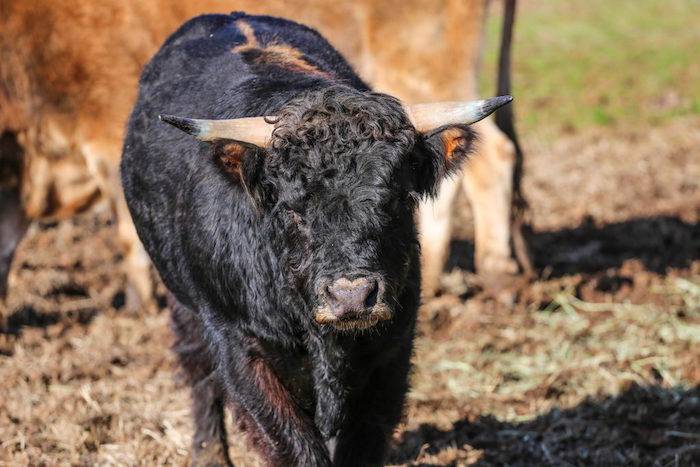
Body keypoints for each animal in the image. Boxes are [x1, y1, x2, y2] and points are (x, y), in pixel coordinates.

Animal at [0, 0, 525, 307]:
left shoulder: (103, 128)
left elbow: (127, 234)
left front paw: (138, 306)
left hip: (428, 70)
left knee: (493, 158)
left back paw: (486, 280)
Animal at [121, 12, 511, 466]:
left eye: (398, 198)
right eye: (291, 207)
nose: (352, 296)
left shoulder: (391, 349)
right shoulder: (241, 344)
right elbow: (291, 442)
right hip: (183, 299)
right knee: (197, 367)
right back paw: (208, 453)